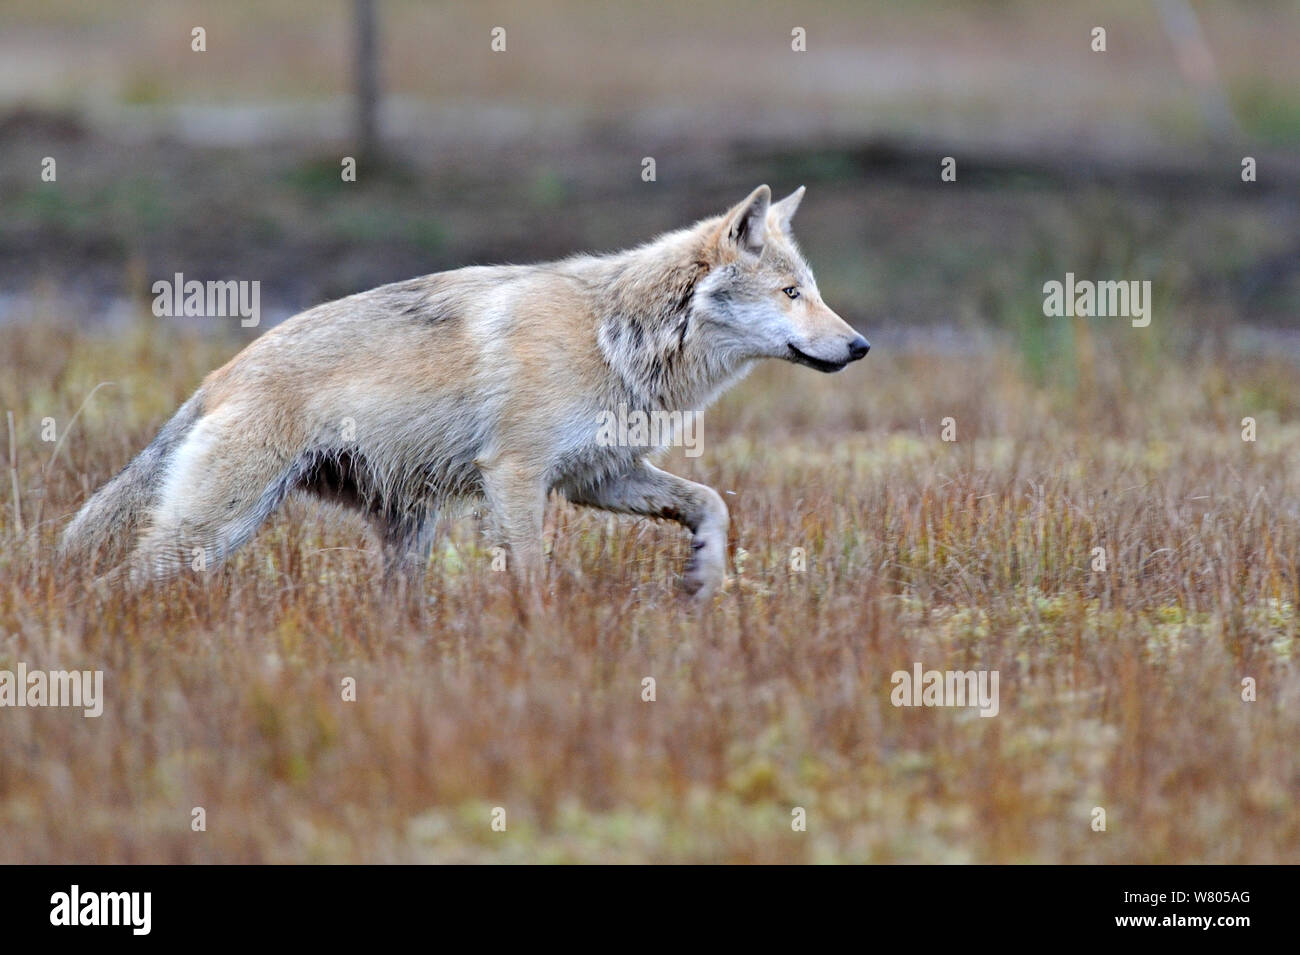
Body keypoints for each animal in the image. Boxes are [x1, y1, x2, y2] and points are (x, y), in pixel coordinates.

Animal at [63, 185, 873, 597]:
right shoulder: (516, 477)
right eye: (792, 293)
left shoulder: (599, 477)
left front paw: (702, 578)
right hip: (215, 530)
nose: (862, 346)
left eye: (814, 292)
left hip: (405, 533)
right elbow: (534, 576)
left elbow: (712, 504)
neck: (615, 338)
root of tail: (217, 377)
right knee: (121, 579)